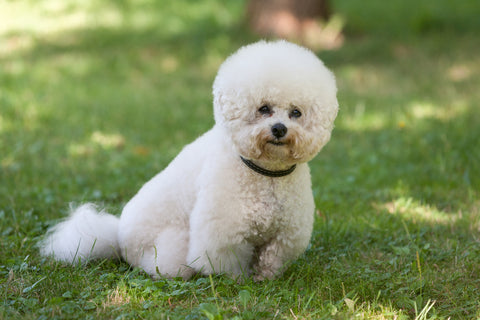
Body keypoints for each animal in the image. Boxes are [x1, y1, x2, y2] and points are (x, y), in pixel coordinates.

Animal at [39, 40, 338, 280]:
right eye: (263, 108)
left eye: (296, 113)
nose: (279, 129)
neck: (265, 173)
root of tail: (118, 238)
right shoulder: (222, 230)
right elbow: (228, 261)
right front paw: (239, 281)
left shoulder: (286, 232)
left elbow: (272, 258)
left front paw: (264, 279)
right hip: (172, 246)